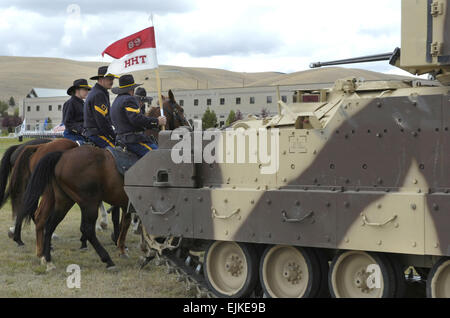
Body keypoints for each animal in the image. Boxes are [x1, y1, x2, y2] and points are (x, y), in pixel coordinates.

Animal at [15, 90, 188, 270]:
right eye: (180, 109)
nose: (189, 128)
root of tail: (56, 153)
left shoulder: (126, 201)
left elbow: (127, 220)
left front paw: (126, 247)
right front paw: (143, 249)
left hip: (62, 198)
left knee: (45, 220)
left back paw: (45, 256)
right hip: (85, 201)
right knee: (83, 228)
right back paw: (104, 258)